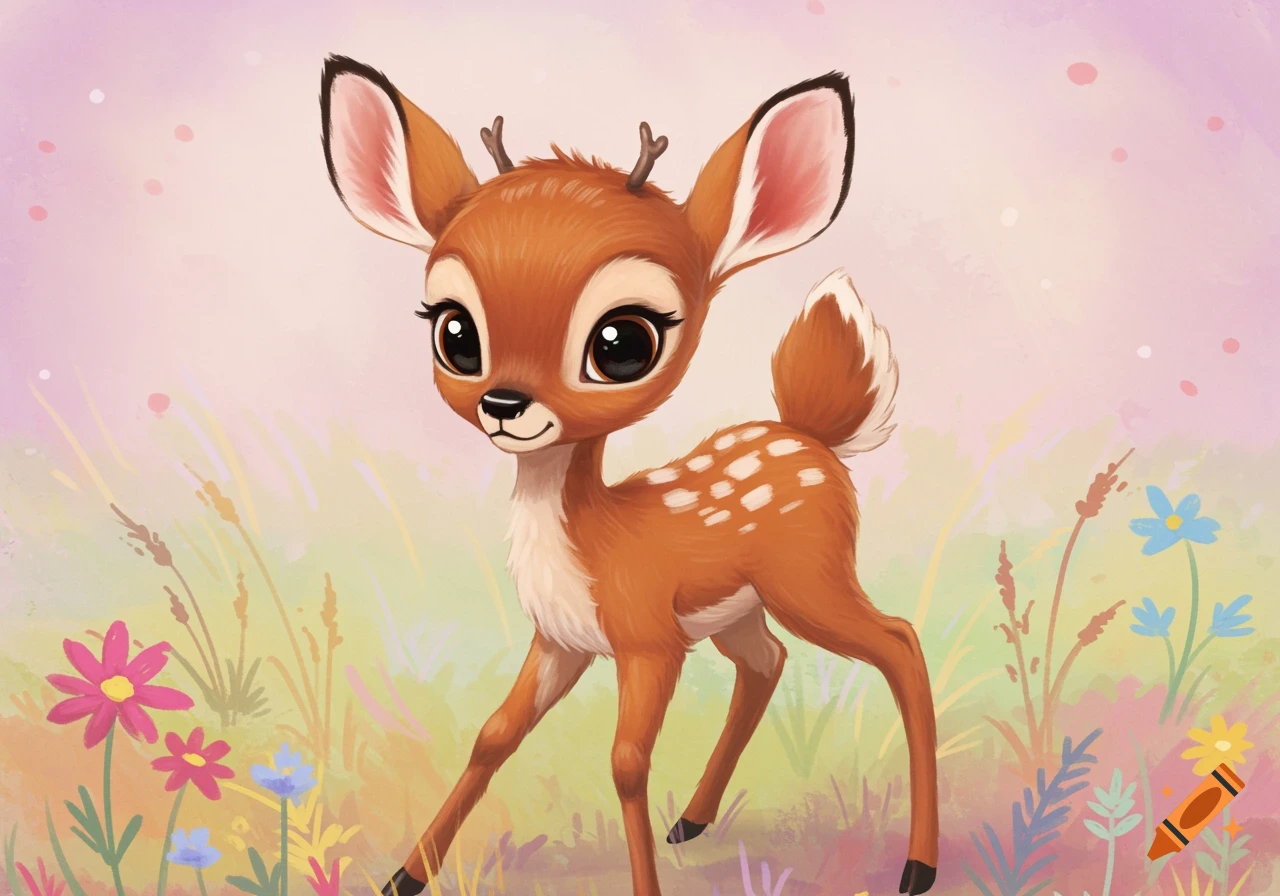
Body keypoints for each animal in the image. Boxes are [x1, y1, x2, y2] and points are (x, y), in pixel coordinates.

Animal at [318, 55, 938, 896]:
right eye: (455, 331)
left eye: (622, 343)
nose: (503, 404)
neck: (593, 539)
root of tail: (812, 435)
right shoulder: (561, 640)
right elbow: (493, 735)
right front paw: (404, 876)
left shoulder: (648, 637)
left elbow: (625, 763)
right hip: (738, 608)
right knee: (768, 661)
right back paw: (695, 820)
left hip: (810, 579)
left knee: (899, 641)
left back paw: (917, 866)